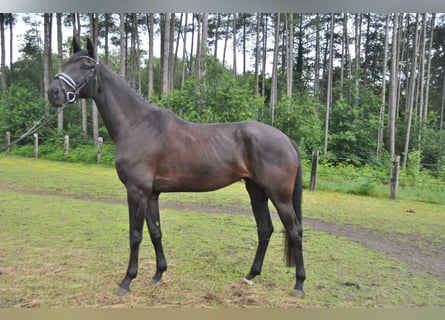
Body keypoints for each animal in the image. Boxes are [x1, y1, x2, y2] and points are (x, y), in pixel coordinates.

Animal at [47, 38, 306, 298]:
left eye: (86, 66)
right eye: (67, 62)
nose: (53, 92)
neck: (137, 125)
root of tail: (286, 139)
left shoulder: (137, 192)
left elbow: (135, 235)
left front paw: (127, 281)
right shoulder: (151, 194)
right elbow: (155, 232)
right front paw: (157, 275)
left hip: (279, 195)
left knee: (295, 230)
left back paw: (299, 285)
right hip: (256, 191)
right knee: (265, 229)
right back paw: (250, 275)